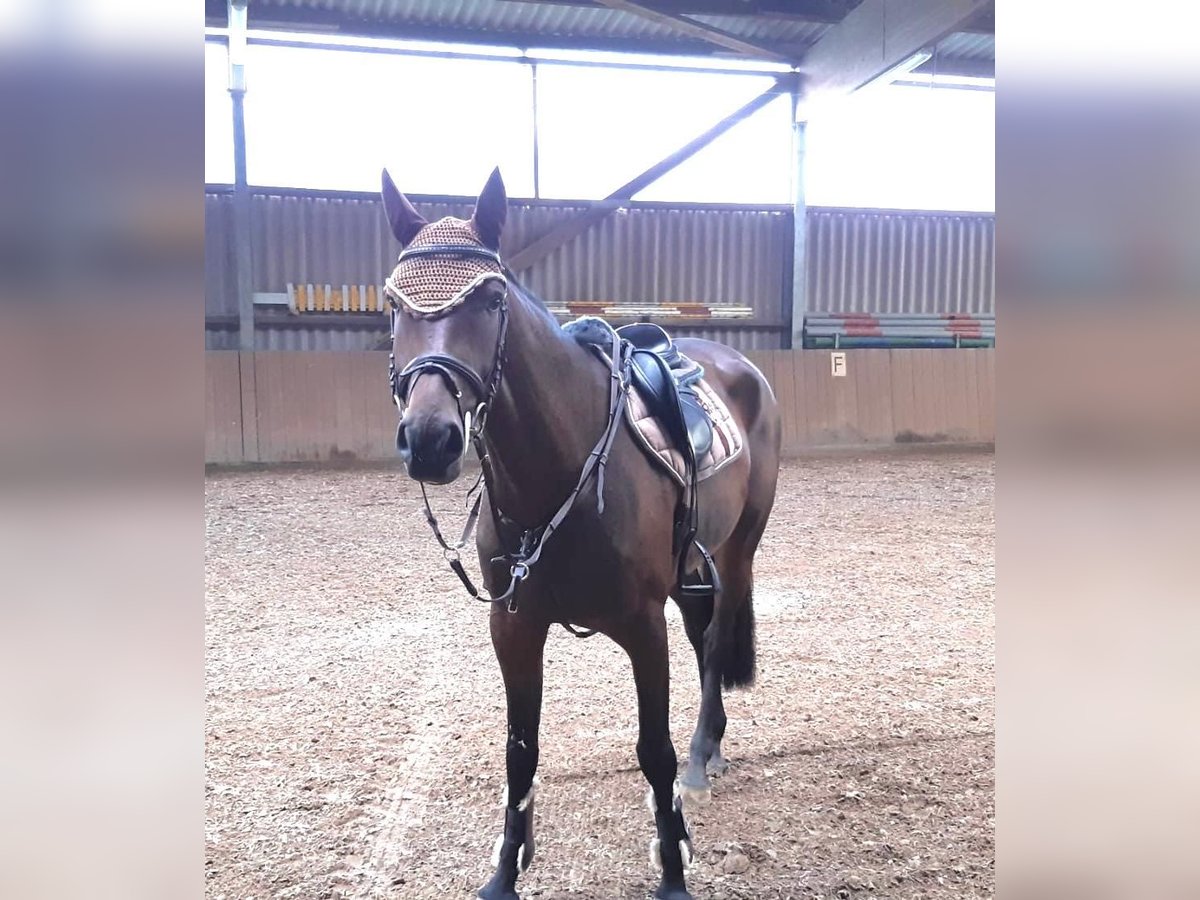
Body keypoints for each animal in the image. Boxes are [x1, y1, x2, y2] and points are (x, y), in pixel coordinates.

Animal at [379, 169, 782, 900]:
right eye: (394, 304)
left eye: (491, 300)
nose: (429, 439)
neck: (558, 471)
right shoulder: (513, 625)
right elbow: (520, 750)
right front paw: (505, 871)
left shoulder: (642, 625)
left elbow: (654, 750)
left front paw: (673, 872)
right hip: (690, 569)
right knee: (703, 633)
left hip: (738, 551)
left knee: (713, 643)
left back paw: (702, 756)